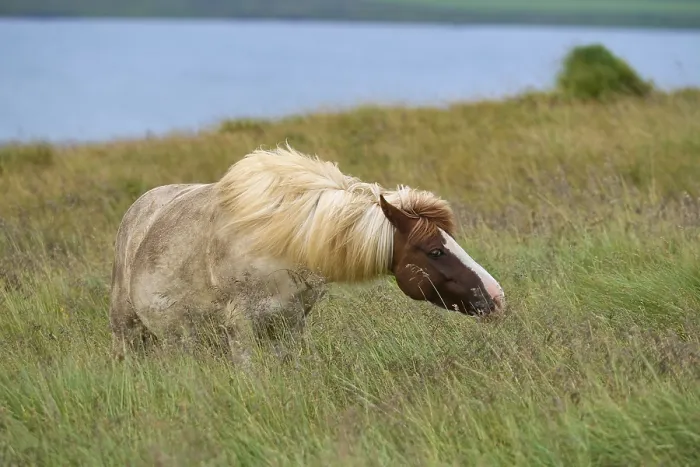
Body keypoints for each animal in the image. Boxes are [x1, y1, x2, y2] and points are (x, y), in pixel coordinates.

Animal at [108, 145, 505, 361]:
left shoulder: (292, 322)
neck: (284, 241)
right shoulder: (241, 328)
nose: (497, 297)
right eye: (435, 251)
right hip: (128, 331)